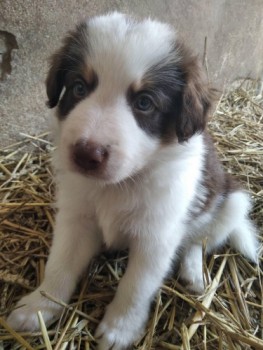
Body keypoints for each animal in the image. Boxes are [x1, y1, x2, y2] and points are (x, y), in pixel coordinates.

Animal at [7, 11, 258, 350]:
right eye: (78, 88)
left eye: (144, 103)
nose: (86, 154)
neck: (120, 184)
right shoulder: (76, 217)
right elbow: (60, 264)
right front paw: (37, 307)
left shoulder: (156, 236)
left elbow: (136, 286)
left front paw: (120, 329)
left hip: (231, 201)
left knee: (198, 240)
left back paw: (194, 273)